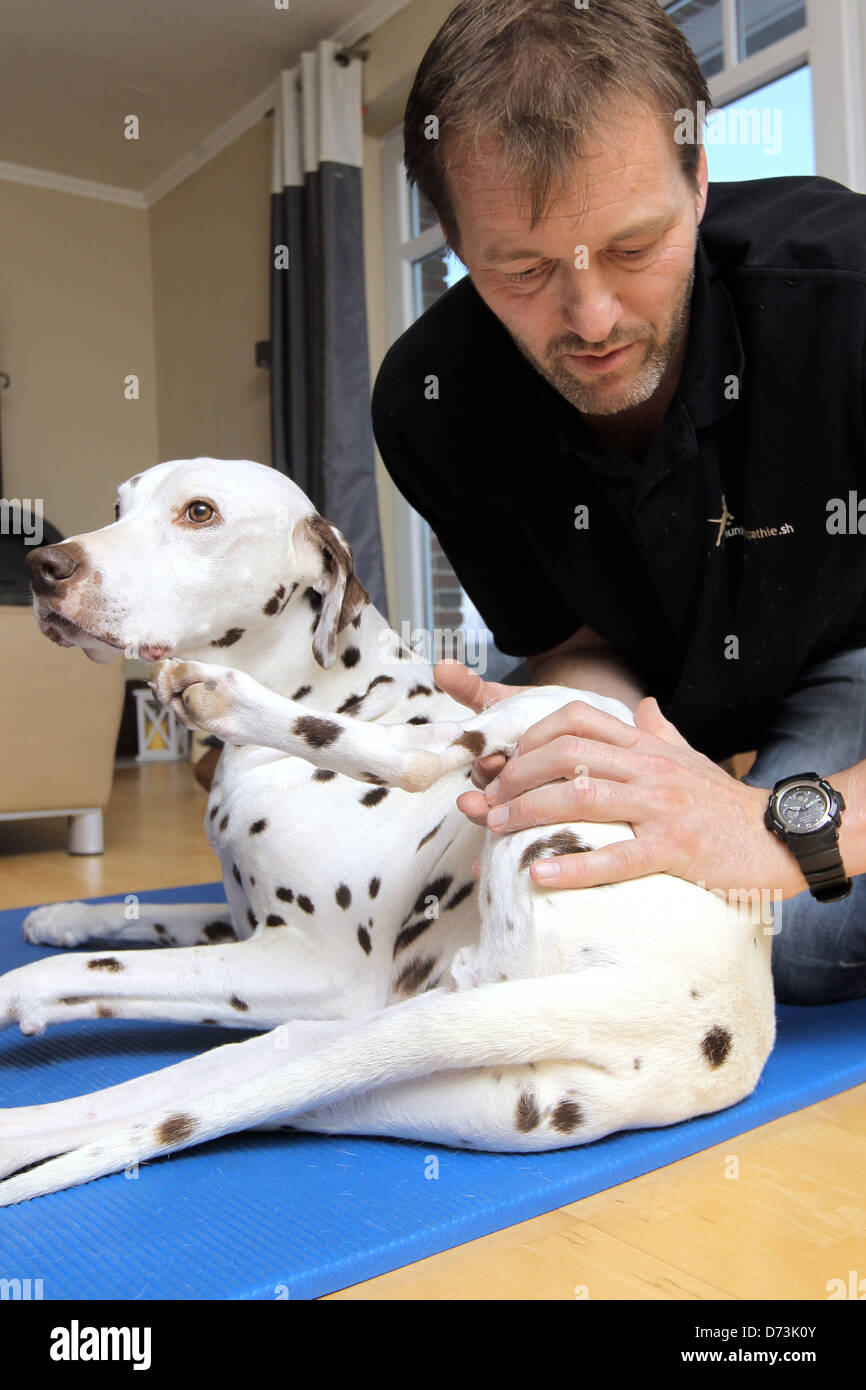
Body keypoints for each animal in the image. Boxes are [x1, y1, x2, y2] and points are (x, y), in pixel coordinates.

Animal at [0, 458, 778, 1206]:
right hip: (331, 1061)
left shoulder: (311, 965)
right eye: (118, 507)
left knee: (424, 758)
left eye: (199, 512)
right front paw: (62, 915)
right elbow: (141, 919)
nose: (43, 566)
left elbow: (65, 973)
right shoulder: (246, 927)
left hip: (562, 713)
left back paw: (226, 696)